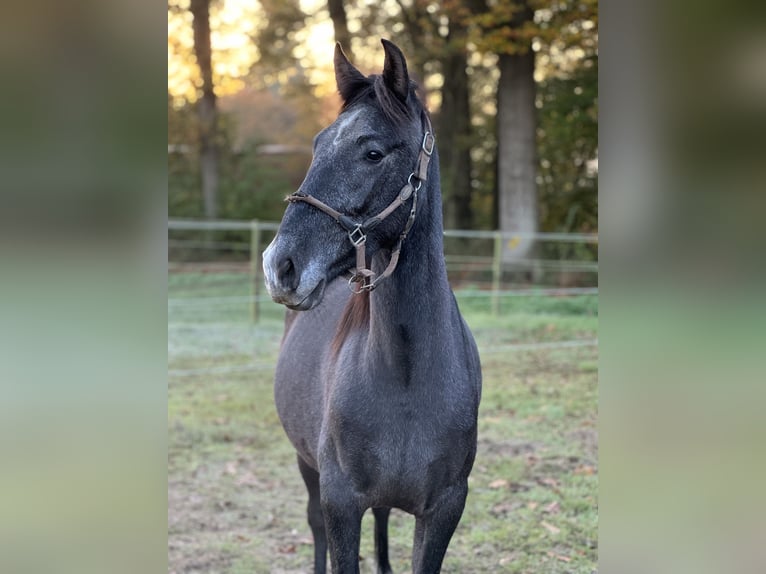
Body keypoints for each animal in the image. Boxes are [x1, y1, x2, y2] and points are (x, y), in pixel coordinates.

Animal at [262, 38, 480, 572]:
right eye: (318, 145)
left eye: (373, 152)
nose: (281, 265)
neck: (407, 377)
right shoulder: (340, 503)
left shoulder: (445, 508)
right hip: (307, 467)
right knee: (314, 526)